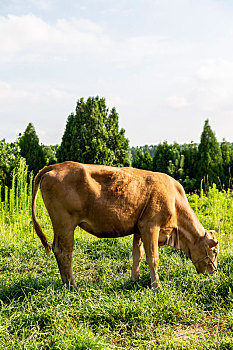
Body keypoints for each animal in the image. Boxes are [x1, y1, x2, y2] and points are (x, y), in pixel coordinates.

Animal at [31, 161, 219, 290]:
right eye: (214, 251)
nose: (214, 273)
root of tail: (55, 166)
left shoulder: (139, 228)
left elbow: (138, 255)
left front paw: (134, 280)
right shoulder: (150, 226)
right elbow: (153, 258)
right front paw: (156, 286)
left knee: (58, 249)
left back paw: (66, 283)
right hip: (65, 224)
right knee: (64, 251)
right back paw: (72, 285)